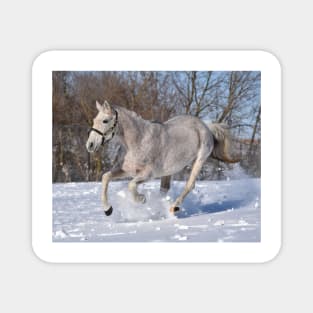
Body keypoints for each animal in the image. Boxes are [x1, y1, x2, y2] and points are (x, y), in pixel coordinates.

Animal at [86, 100, 239, 214]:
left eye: (105, 121)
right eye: (94, 120)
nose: (90, 145)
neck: (138, 141)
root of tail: (206, 126)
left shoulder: (148, 174)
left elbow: (131, 185)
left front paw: (141, 199)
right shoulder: (126, 170)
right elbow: (105, 177)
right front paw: (108, 209)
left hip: (199, 160)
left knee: (190, 185)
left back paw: (174, 207)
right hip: (169, 171)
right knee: (165, 189)